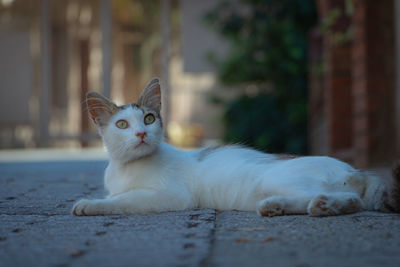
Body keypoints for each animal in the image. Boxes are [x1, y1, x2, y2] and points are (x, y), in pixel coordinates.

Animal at [72, 78, 400, 218]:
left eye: (149, 119)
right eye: (122, 124)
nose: (141, 133)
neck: (126, 168)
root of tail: (354, 169)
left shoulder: (172, 196)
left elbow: (122, 201)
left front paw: (89, 204)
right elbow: (116, 196)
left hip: (278, 176)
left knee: (350, 199)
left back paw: (323, 206)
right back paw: (277, 206)